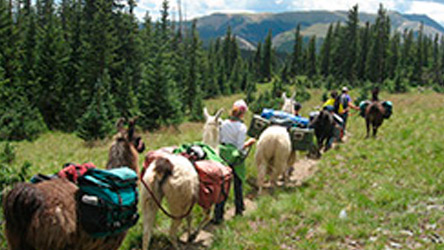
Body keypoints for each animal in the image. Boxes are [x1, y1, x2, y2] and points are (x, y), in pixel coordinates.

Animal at [140, 107, 224, 250]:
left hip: (149, 196)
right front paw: (194, 234)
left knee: (146, 234)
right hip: (178, 203)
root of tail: (163, 166)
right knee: (171, 233)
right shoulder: (206, 199)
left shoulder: (191, 200)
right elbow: (207, 216)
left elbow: (190, 217)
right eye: (220, 123)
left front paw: (190, 235)